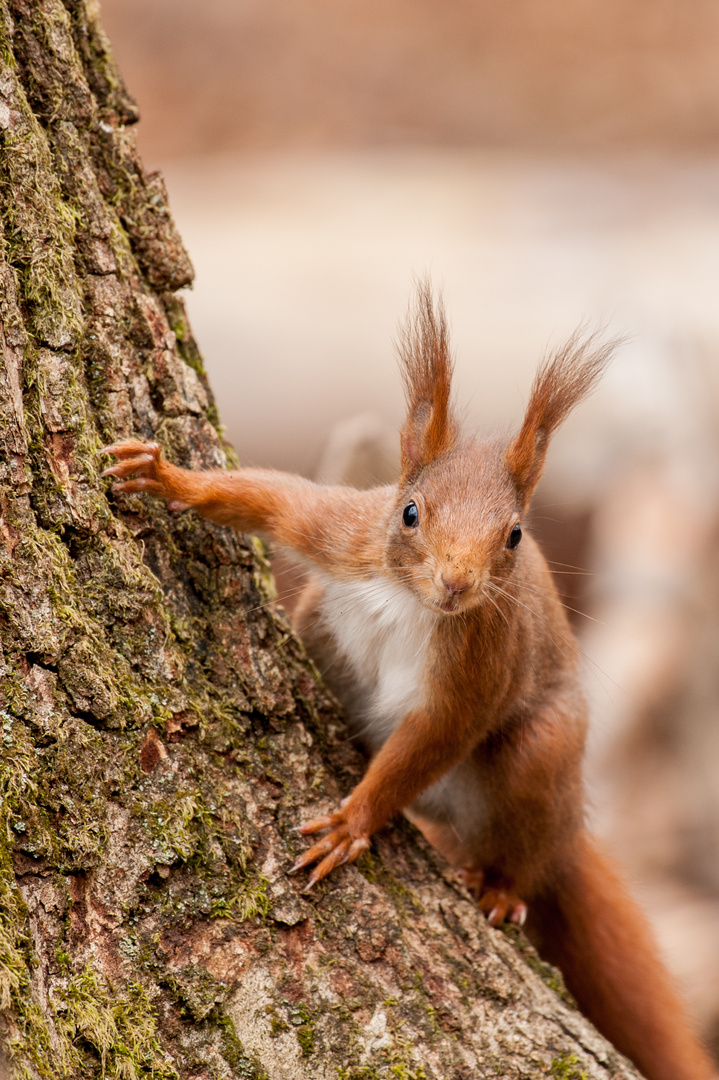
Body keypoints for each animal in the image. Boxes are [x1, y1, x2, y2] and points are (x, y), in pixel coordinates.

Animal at [102, 282, 712, 1075]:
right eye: (410, 512)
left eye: (514, 535)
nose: (457, 585)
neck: (410, 600)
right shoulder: (343, 531)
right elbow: (269, 496)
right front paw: (168, 477)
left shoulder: (482, 655)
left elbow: (434, 735)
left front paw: (352, 822)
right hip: (316, 619)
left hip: (543, 757)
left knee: (531, 844)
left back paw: (501, 887)